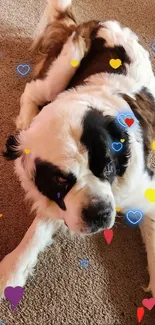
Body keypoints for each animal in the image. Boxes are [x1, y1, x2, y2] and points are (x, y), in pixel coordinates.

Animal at [0, 0, 155, 298]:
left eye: (108, 165)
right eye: (61, 179)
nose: (100, 213)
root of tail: (97, 21)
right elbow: (37, 230)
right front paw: (11, 272)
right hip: (61, 69)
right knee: (33, 90)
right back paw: (25, 124)